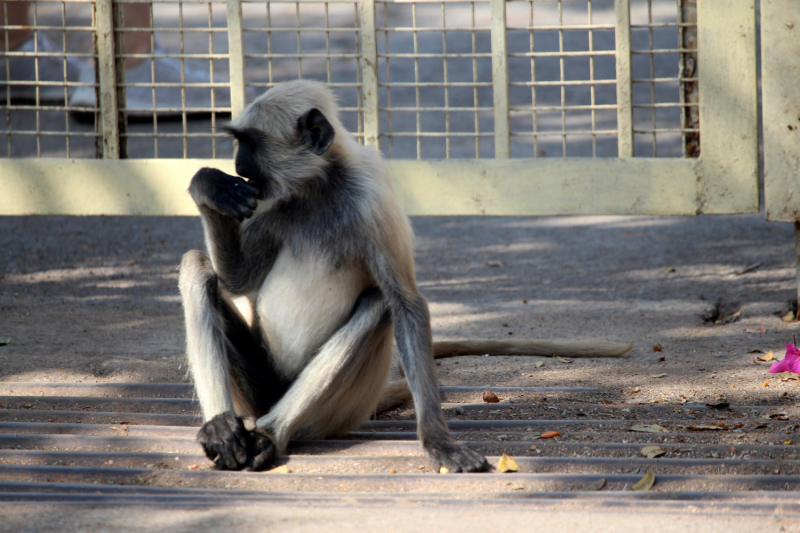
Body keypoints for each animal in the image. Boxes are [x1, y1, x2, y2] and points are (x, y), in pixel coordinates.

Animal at [180, 79, 632, 470]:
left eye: (250, 144)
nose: (237, 164)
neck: (320, 185)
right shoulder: (274, 201)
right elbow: (237, 281)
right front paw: (209, 185)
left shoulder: (370, 198)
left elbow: (405, 303)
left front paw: (437, 441)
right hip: (257, 390)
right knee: (196, 265)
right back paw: (222, 427)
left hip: (336, 410)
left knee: (378, 302)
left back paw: (271, 434)